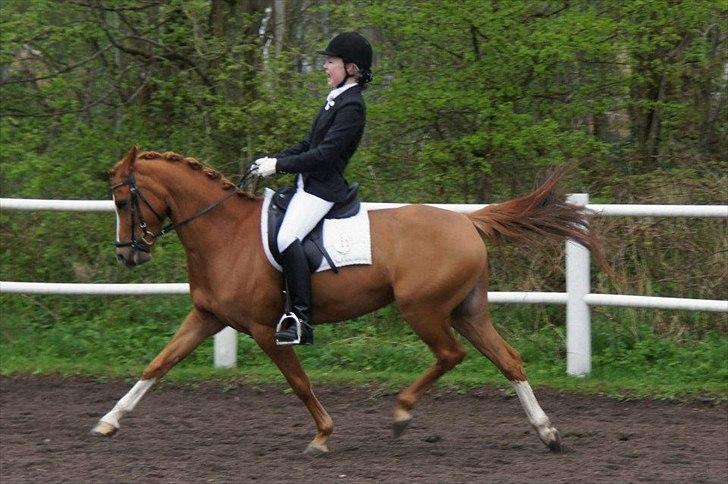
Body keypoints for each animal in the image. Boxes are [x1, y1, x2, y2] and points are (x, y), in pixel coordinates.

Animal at [93, 145, 604, 455]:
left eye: (123, 202)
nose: (127, 255)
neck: (226, 234)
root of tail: (466, 221)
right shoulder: (206, 316)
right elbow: (158, 364)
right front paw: (108, 422)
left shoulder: (265, 329)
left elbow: (300, 383)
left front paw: (322, 436)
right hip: (468, 310)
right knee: (508, 359)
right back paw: (547, 433)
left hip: (423, 310)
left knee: (450, 354)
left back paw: (401, 413)